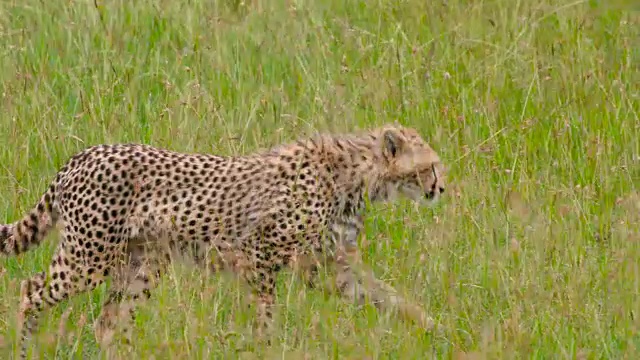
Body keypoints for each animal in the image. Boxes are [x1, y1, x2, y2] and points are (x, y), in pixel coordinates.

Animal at [1, 123, 444, 358]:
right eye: (431, 167)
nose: (441, 188)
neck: (357, 174)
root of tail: (83, 154)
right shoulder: (260, 255)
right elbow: (266, 313)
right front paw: (265, 347)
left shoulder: (330, 266)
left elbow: (388, 297)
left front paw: (434, 328)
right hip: (87, 260)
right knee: (29, 289)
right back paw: (23, 348)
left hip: (142, 265)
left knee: (107, 321)